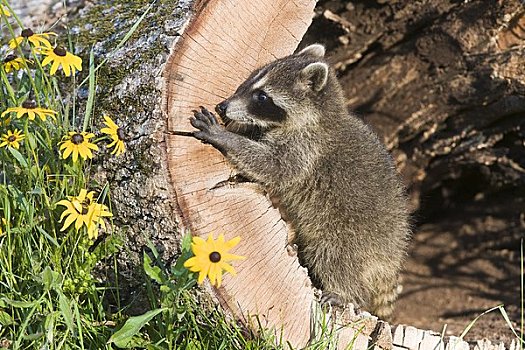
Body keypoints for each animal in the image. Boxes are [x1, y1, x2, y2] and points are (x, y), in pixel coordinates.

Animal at [190, 43, 412, 320]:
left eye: (262, 97)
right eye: (248, 81)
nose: (222, 107)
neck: (319, 117)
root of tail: (392, 257)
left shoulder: (306, 150)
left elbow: (275, 168)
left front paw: (226, 137)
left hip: (350, 235)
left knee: (335, 257)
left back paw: (344, 292)